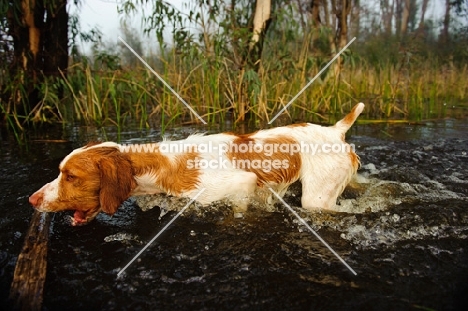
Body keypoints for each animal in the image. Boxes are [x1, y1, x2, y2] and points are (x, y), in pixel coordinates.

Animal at [29, 103, 364, 225]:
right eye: (62, 172)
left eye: (70, 176)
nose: (32, 199)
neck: (164, 165)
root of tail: (336, 129)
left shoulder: (239, 186)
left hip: (316, 198)